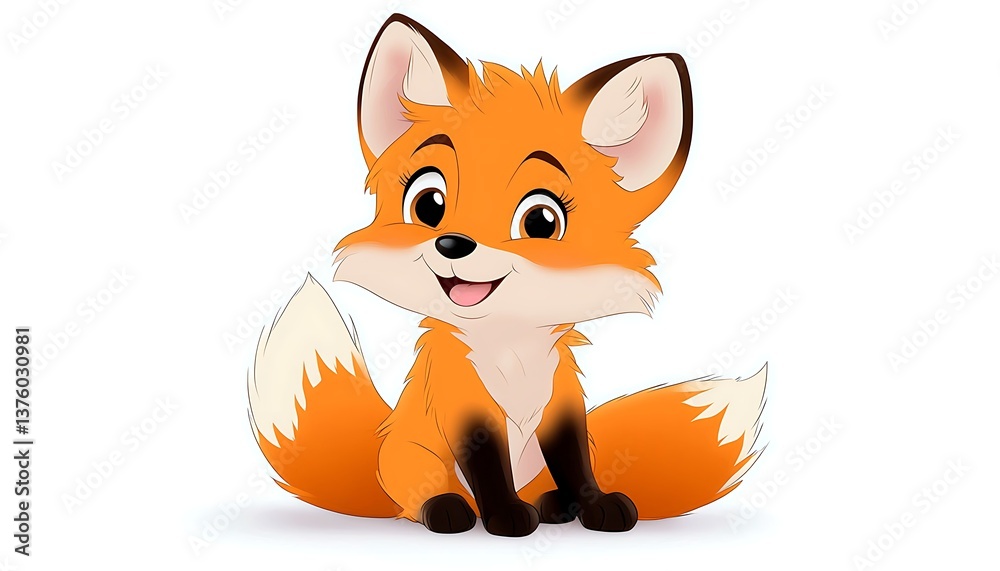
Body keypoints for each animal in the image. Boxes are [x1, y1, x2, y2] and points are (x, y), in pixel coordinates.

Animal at [248, 13, 766, 537]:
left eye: (540, 220)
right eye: (428, 204)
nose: (452, 244)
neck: (512, 353)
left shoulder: (562, 409)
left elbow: (577, 467)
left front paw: (596, 505)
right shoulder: (467, 410)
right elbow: (489, 472)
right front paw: (506, 517)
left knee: (544, 487)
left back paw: (555, 506)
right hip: (412, 459)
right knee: (423, 498)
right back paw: (453, 509)